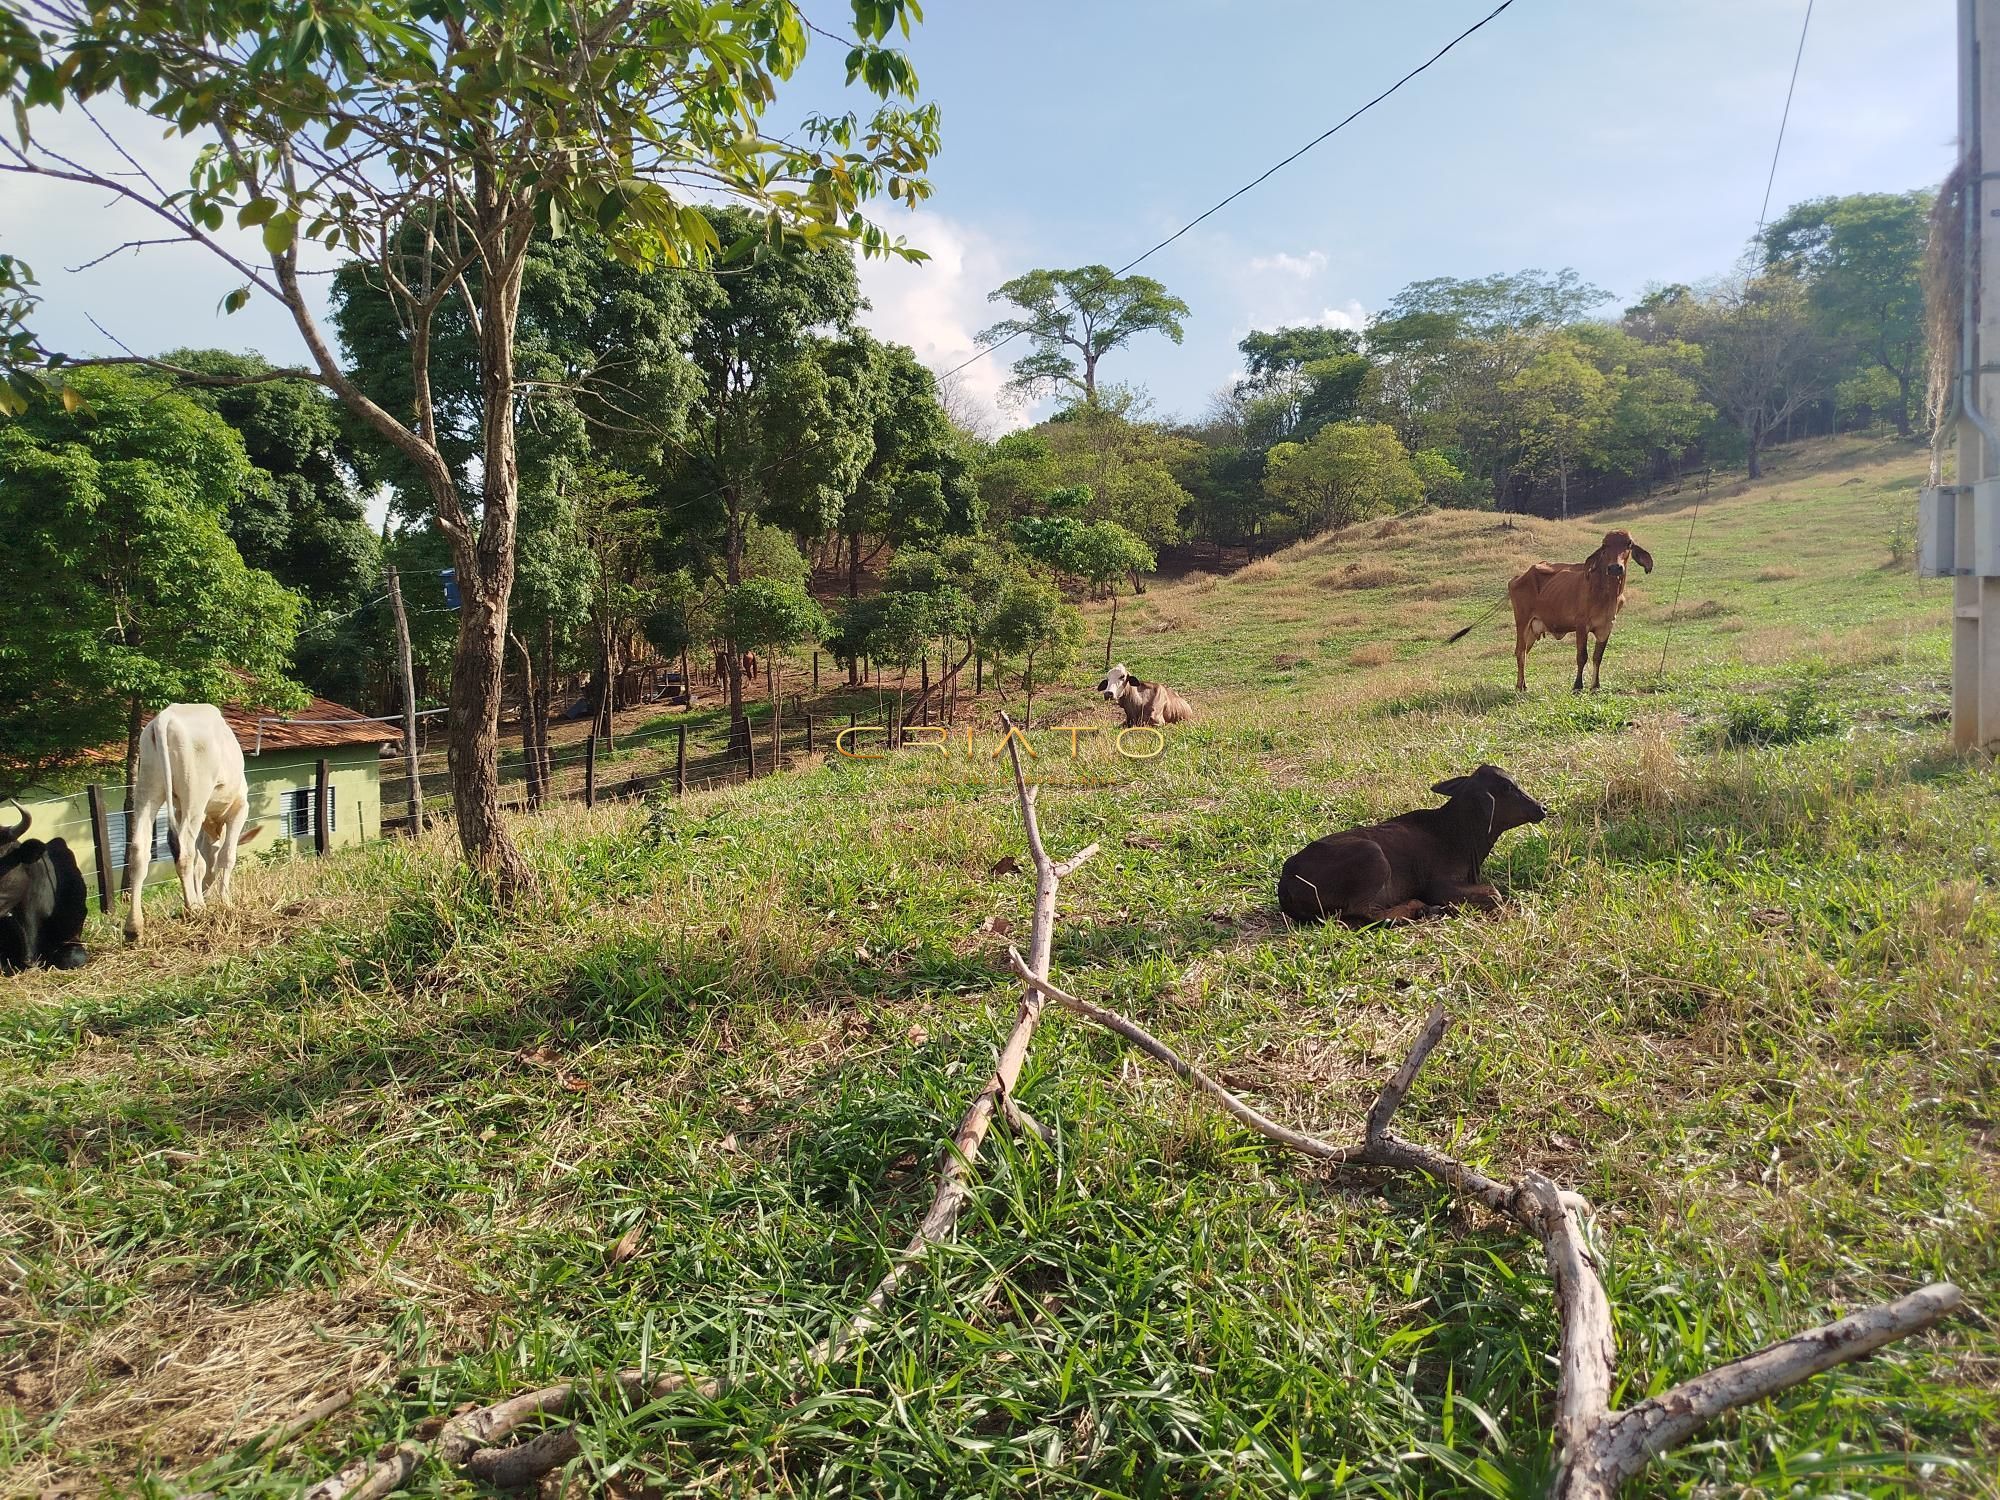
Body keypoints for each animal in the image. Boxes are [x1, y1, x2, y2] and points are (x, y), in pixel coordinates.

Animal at [124, 704, 262, 940]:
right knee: (185, 851)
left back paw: (134, 927)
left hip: (148, 788)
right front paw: (226, 903)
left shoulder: (181, 812)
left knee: (139, 850)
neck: (214, 825)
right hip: (195, 794)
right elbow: (226, 856)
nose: (208, 889)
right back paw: (193, 910)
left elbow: (201, 863)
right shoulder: (239, 808)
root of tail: (165, 717)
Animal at [1280, 764, 1544, 928]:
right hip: (1372, 856)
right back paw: (1420, 908)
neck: (1460, 835)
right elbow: (1494, 892)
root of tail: (1285, 883)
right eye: (1508, 787)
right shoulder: (1437, 885)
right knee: (1364, 913)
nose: (1542, 807)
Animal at [1496, 528, 1648, 692]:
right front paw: (1577, 686)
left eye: (1629, 544)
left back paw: (1523, 684)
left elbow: (1598, 657)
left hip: (1533, 629)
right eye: (1604, 545)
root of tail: (1518, 577)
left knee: (1524, 652)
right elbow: (1582, 656)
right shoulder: (1581, 625)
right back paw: (1520, 686)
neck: (1606, 592)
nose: (1615, 568)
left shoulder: (1606, 626)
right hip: (1522, 622)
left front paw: (1595, 686)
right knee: (1520, 652)